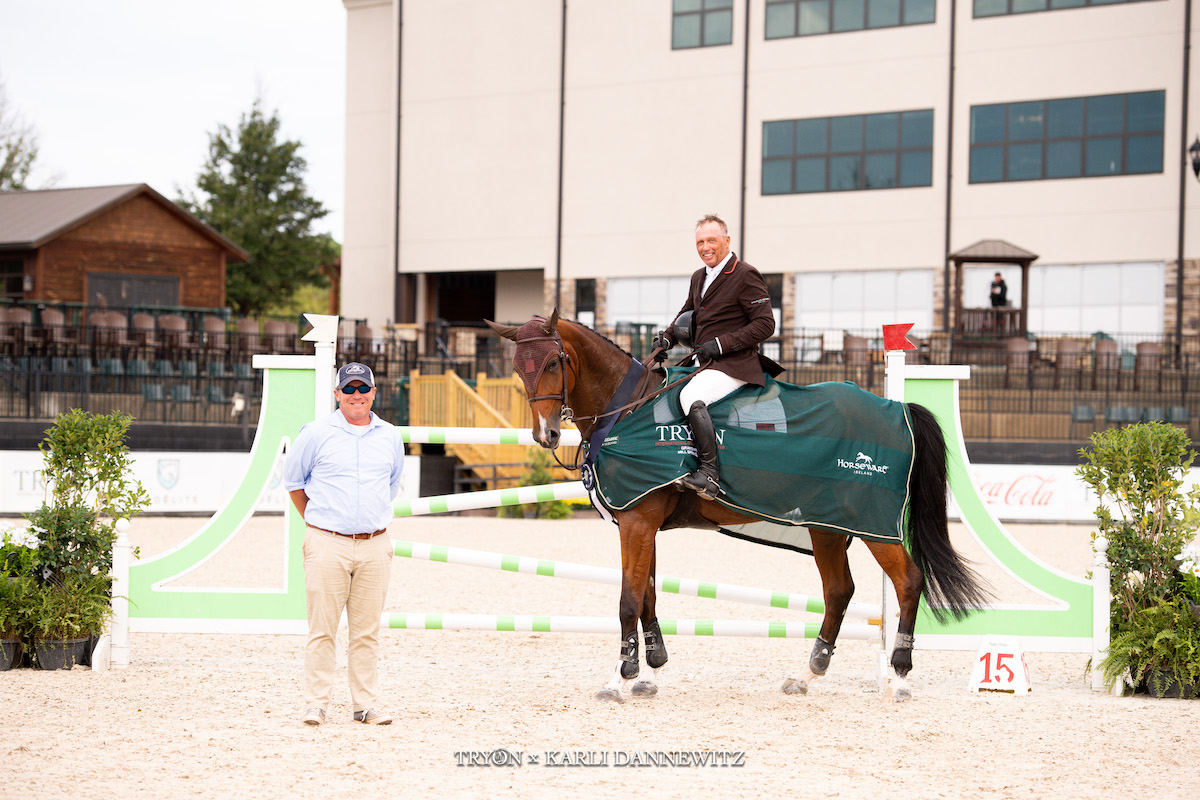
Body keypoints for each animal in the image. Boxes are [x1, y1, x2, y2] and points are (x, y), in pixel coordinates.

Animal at [482, 309, 988, 705]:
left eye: (554, 361)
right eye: (519, 367)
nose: (546, 434)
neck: (627, 411)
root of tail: (895, 408)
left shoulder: (637, 522)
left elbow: (627, 601)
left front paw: (618, 679)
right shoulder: (642, 521)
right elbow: (647, 596)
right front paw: (649, 672)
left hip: (872, 524)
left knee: (908, 582)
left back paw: (899, 676)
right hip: (825, 525)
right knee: (839, 592)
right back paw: (808, 674)